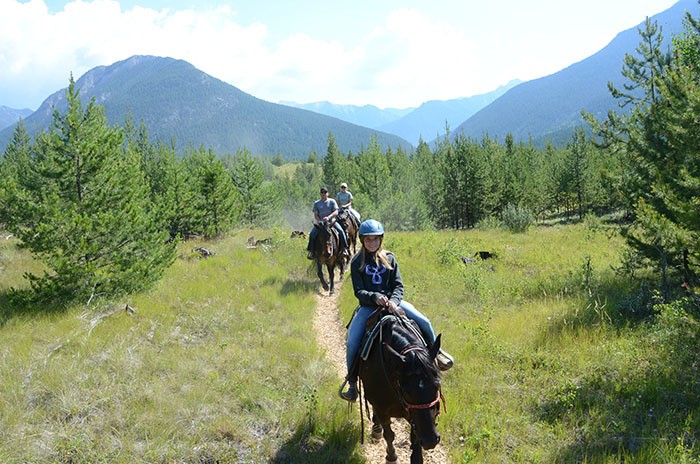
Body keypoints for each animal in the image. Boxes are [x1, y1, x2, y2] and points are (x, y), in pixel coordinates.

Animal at [358, 312, 446, 464]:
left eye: (437, 384)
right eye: (406, 391)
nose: (430, 440)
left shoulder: (414, 417)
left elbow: (415, 445)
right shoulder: (383, 409)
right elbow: (389, 435)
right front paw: (391, 457)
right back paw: (376, 429)